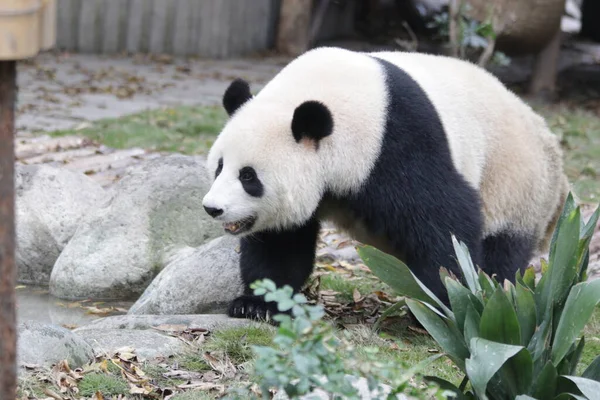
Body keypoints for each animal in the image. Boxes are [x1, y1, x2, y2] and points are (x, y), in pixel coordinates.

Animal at [200, 47, 568, 320]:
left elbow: (444, 220)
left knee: (502, 249)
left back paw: (490, 298)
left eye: (249, 176)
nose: (213, 208)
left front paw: (444, 300)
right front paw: (258, 304)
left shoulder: (397, 141)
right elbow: (282, 241)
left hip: (514, 180)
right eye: (219, 167)